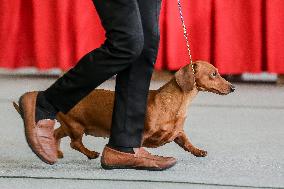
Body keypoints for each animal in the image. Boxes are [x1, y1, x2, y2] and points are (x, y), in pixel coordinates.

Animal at [13, 60, 234, 159]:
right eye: (214, 74)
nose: (233, 87)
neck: (177, 102)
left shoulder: (178, 132)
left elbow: (187, 142)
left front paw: (198, 151)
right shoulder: (143, 133)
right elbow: (138, 146)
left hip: (70, 125)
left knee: (57, 134)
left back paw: (56, 152)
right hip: (76, 127)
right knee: (75, 143)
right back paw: (91, 153)